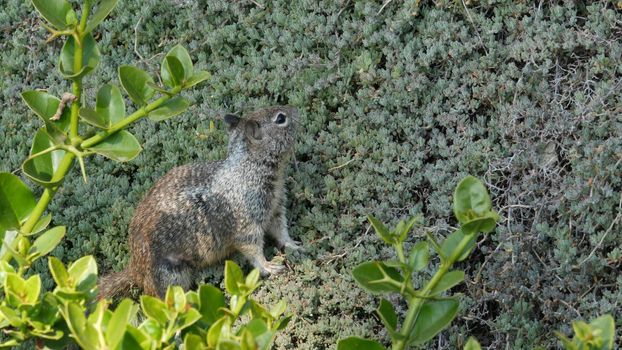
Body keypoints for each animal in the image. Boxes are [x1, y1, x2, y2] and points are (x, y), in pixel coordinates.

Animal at [100, 105, 302, 296]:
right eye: (281, 118)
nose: (296, 110)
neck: (249, 168)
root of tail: (134, 269)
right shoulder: (247, 222)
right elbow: (252, 249)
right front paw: (269, 266)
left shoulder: (275, 208)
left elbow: (280, 231)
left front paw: (293, 245)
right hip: (170, 276)